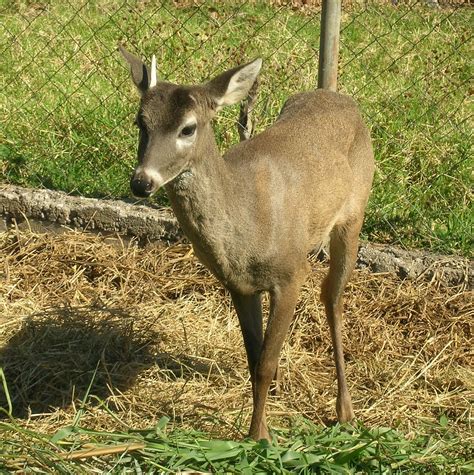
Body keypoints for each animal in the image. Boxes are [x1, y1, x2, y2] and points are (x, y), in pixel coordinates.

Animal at [118, 45, 374, 442]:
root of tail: (338, 96)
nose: (142, 182)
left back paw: (345, 411)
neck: (246, 225)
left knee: (332, 296)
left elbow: (266, 362)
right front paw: (260, 422)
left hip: (354, 213)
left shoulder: (291, 273)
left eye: (188, 128)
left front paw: (259, 437)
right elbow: (255, 358)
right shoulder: (238, 285)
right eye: (140, 122)